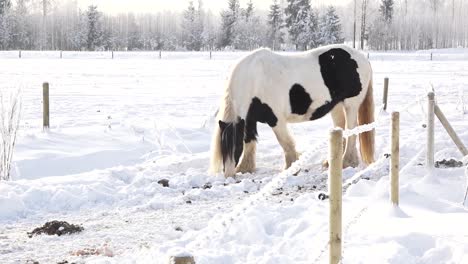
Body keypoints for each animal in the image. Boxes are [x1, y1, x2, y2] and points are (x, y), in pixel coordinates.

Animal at [210, 44, 374, 178]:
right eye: (223, 146)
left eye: (236, 146)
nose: (229, 174)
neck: (253, 79)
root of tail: (362, 58)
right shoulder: (249, 119)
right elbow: (250, 141)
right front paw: (245, 168)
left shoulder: (275, 119)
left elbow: (285, 142)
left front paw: (291, 167)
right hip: (337, 106)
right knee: (341, 128)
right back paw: (333, 161)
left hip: (351, 105)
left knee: (351, 130)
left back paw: (347, 162)